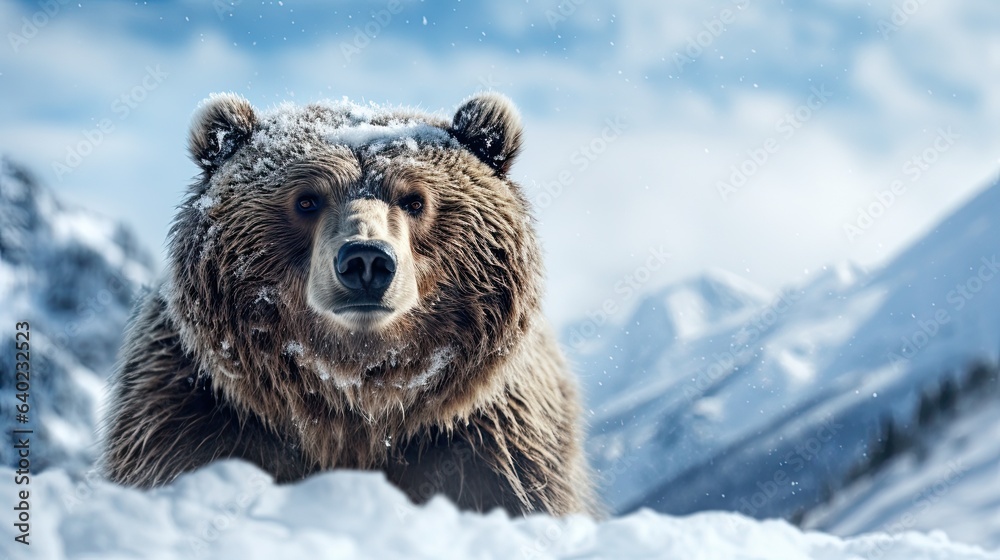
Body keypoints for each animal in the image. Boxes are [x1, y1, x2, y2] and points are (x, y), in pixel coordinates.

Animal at [100, 92, 596, 516]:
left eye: (414, 200)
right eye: (306, 199)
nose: (366, 260)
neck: (353, 400)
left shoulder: (491, 439)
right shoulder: (195, 411)